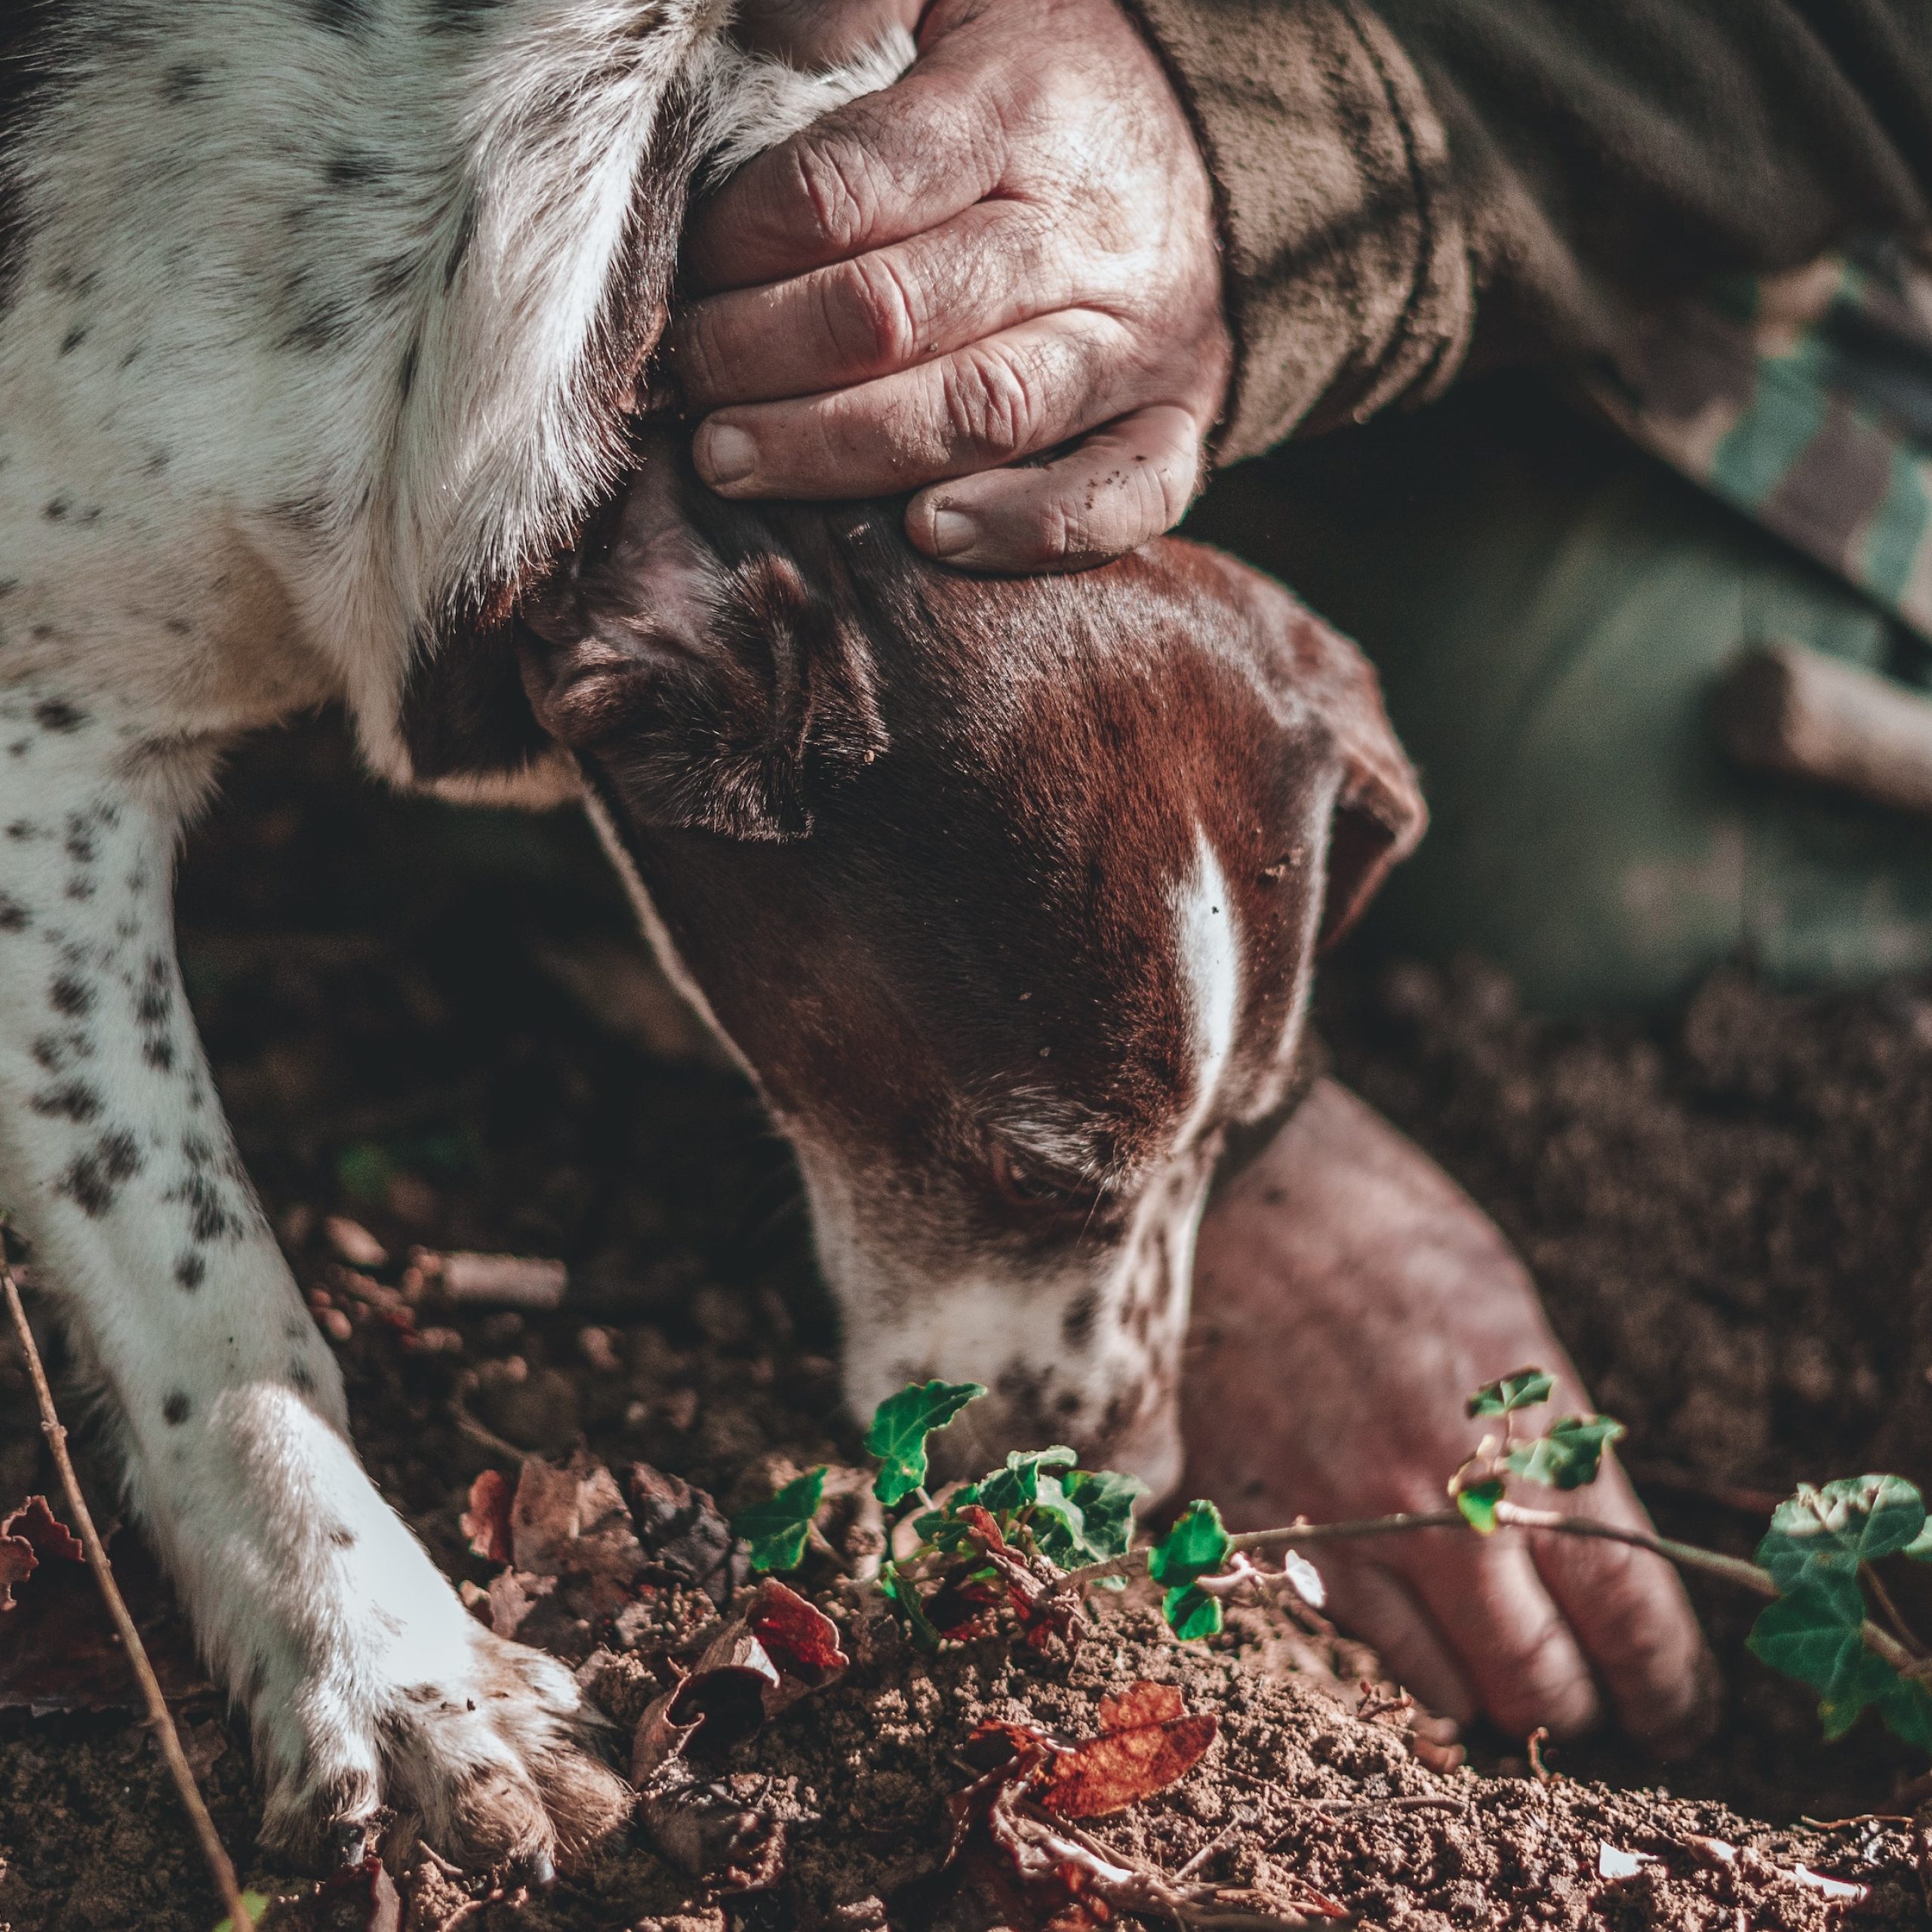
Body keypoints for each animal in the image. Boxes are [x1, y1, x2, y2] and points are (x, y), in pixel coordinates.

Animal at [0, 0, 1422, 1878]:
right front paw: (391, 1661)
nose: (1124, 1489)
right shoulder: (41, 761)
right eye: (1036, 1168)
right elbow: (205, 1281)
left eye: (1249, 1138)